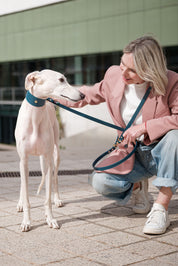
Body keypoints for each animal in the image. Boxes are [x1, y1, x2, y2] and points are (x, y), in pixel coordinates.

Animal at [14, 69, 84, 232]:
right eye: (61, 79)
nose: (83, 95)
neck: (35, 116)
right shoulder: (24, 160)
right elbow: (26, 193)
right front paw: (26, 221)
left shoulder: (47, 157)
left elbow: (47, 197)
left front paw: (50, 219)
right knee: (24, 183)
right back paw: (20, 202)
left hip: (54, 155)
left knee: (54, 178)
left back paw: (57, 199)